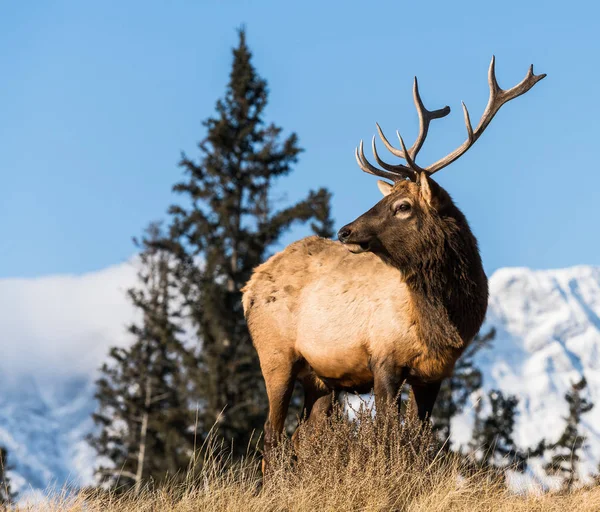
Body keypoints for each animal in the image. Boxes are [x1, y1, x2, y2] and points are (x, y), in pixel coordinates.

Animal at [241, 58, 548, 466]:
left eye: (402, 206)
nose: (345, 231)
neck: (445, 319)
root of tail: (249, 286)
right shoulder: (383, 358)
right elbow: (387, 436)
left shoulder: (434, 373)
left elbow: (419, 439)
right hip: (275, 356)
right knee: (271, 438)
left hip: (319, 379)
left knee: (300, 438)